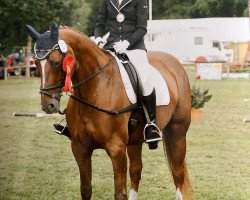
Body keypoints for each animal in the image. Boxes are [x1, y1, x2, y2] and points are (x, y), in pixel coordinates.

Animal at [26, 23, 191, 200]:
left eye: (56, 62)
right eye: (36, 63)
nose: (48, 105)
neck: (95, 89)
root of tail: (174, 62)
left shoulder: (116, 149)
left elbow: (119, 193)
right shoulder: (80, 148)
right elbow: (86, 189)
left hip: (177, 131)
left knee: (177, 172)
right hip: (135, 139)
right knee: (136, 171)